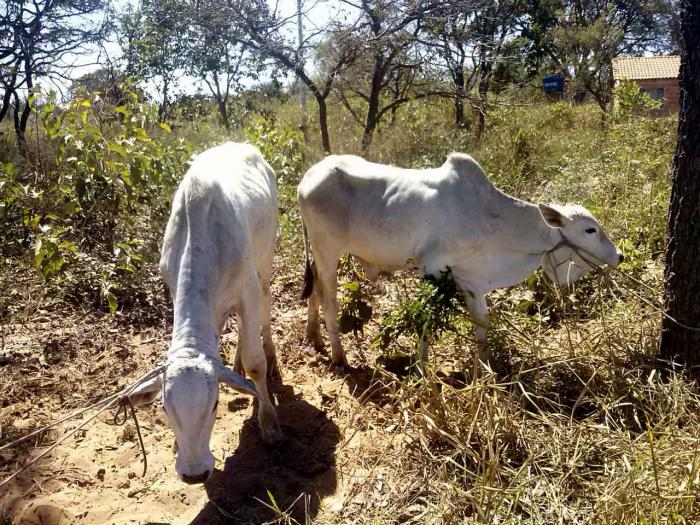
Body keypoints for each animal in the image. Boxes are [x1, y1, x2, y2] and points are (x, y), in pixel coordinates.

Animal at [127, 142, 280, 484]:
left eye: (214, 405)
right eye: (165, 409)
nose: (194, 474)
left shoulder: (247, 290)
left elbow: (256, 363)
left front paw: (269, 423)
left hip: (265, 261)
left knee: (264, 307)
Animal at [298, 151, 620, 366]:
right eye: (590, 230)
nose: (619, 254)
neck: (492, 218)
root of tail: (307, 177)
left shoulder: (471, 281)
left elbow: (481, 325)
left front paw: (486, 368)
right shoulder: (432, 269)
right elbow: (425, 322)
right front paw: (421, 368)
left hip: (318, 253)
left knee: (314, 290)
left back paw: (314, 336)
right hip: (328, 252)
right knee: (328, 298)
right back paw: (339, 356)